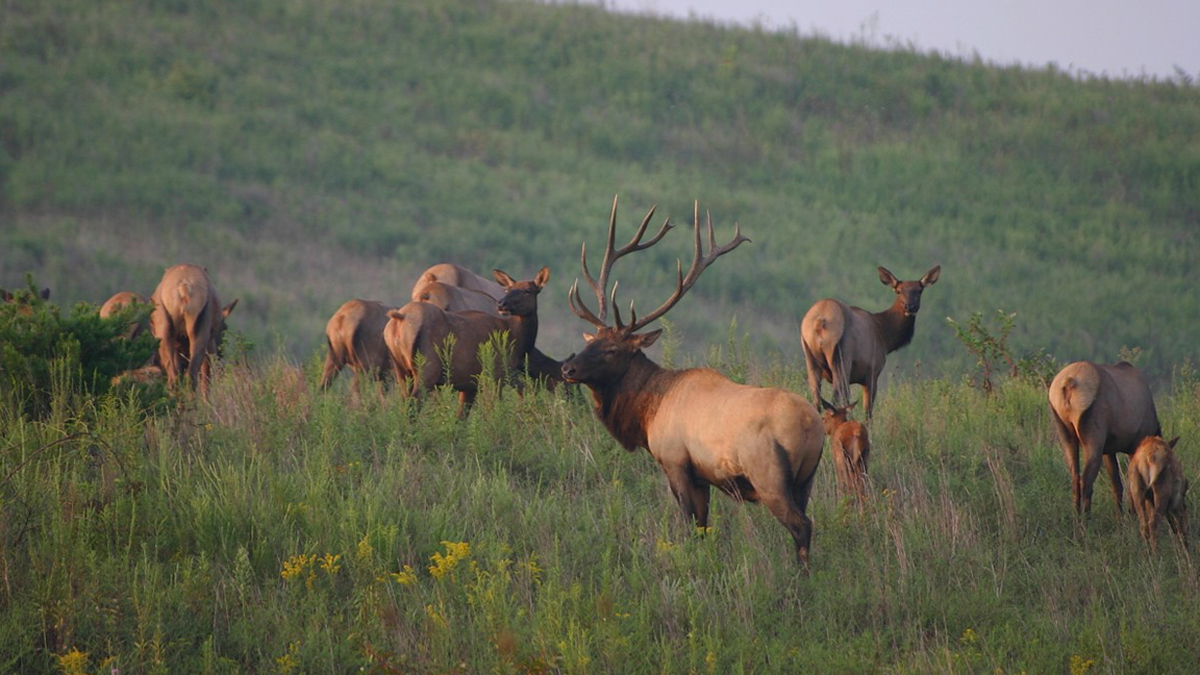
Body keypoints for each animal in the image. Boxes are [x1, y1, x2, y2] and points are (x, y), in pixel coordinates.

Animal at [149, 264, 238, 393]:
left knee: (175, 378)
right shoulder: (209, 345)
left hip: (165, 336)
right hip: (199, 336)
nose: (220, 355)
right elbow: (206, 380)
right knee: (192, 376)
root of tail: (184, 289)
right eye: (224, 327)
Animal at [384, 267, 549, 413]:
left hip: (401, 370)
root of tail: (400, 317)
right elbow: (495, 408)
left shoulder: (469, 384)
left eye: (528, 290)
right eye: (508, 289)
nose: (501, 303)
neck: (518, 339)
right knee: (413, 405)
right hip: (427, 368)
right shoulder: (496, 374)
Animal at [560, 196, 825, 569]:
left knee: (801, 526)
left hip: (768, 475)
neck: (648, 412)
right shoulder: (702, 475)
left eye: (611, 349)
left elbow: (691, 526)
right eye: (590, 340)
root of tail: (810, 425)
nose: (568, 368)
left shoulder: (676, 463)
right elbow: (704, 528)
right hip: (807, 478)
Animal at [800, 265, 941, 419]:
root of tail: (820, 321)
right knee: (837, 398)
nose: (910, 306)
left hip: (810, 357)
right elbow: (868, 412)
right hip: (842, 358)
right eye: (898, 291)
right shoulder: (872, 371)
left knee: (817, 401)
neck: (886, 337)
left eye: (920, 290)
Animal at [1049, 360, 1161, 516]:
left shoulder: (1109, 450)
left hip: (1065, 432)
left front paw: (1121, 516)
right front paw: (1132, 514)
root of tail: (1069, 383)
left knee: (1075, 477)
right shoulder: (1135, 444)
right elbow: (1132, 486)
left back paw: (1076, 516)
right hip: (1093, 436)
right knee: (1086, 480)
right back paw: (1086, 518)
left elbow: (1117, 485)